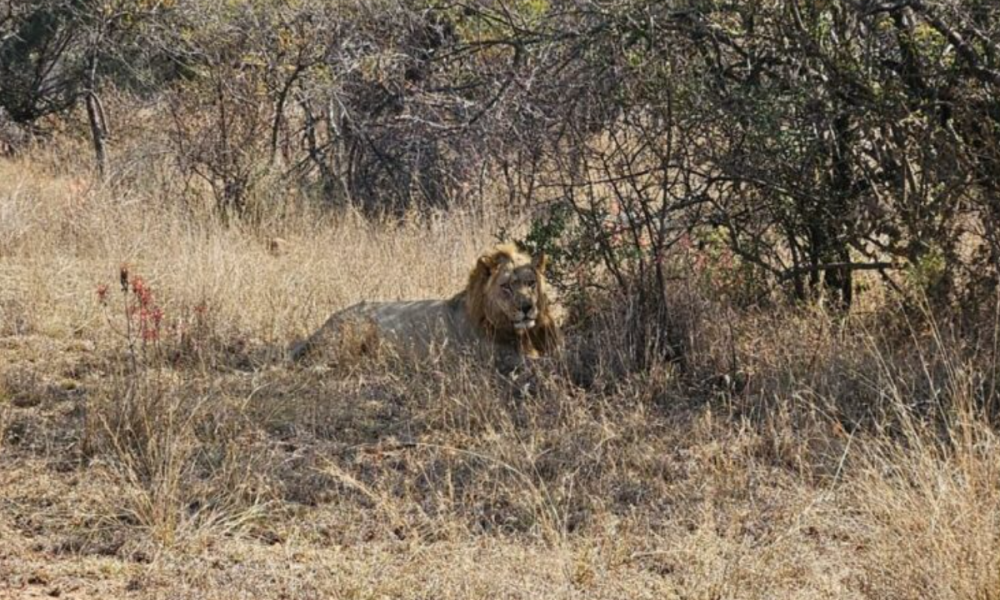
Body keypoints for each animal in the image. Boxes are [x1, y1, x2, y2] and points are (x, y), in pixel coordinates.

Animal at [292, 245, 564, 366]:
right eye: (506, 286)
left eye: (530, 283)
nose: (527, 307)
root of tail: (322, 327)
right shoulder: (496, 357)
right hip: (352, 330)